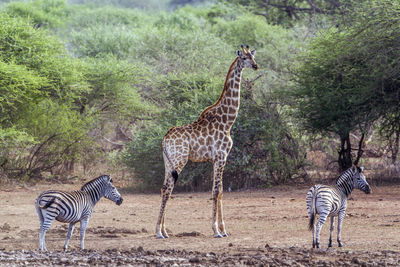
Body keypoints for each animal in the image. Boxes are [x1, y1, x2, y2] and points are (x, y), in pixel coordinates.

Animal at [155, 45, 258, 240]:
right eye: (244, 58)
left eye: (253, 56)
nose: (256, 66)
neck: (227, 120)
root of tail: (164, 139)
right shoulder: (220, 156)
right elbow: (216, 191)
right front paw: (216, 230)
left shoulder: (219, 158)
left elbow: (221, 191)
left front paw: (224, 230)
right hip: (179, 160)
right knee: (168, 189)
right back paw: (158, 231)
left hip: (168, 162)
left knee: (164, 188)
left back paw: (163, 231)